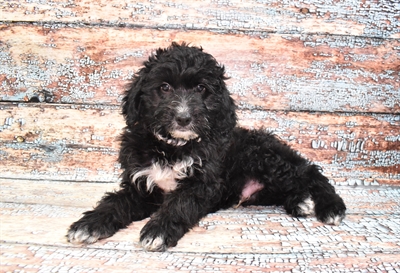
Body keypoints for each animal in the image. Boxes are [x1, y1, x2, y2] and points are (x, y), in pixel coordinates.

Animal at [67, 42, 346, 251]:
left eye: (201, 88)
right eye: (164, 87)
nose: (183, 118)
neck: (173, 148)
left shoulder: (202, 183)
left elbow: (179, 203)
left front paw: (159, 230)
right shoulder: (142, 184)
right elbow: (115, 202)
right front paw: (89, 224)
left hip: (264, 158)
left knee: (311, 173)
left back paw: (331, 206)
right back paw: (300, 202)